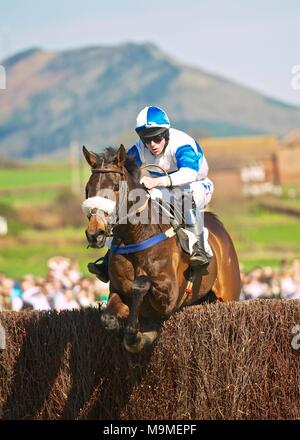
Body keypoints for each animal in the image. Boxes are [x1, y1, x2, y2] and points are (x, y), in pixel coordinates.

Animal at [82, 146, 241, 352]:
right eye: (88, 188)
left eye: (116, 186)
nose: (95, 233)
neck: (136, 236)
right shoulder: (118, 291)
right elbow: (108, 319)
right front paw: (130, 333)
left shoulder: (169, 296)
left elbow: (141, 283)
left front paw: (138, 335)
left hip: (229, 294)